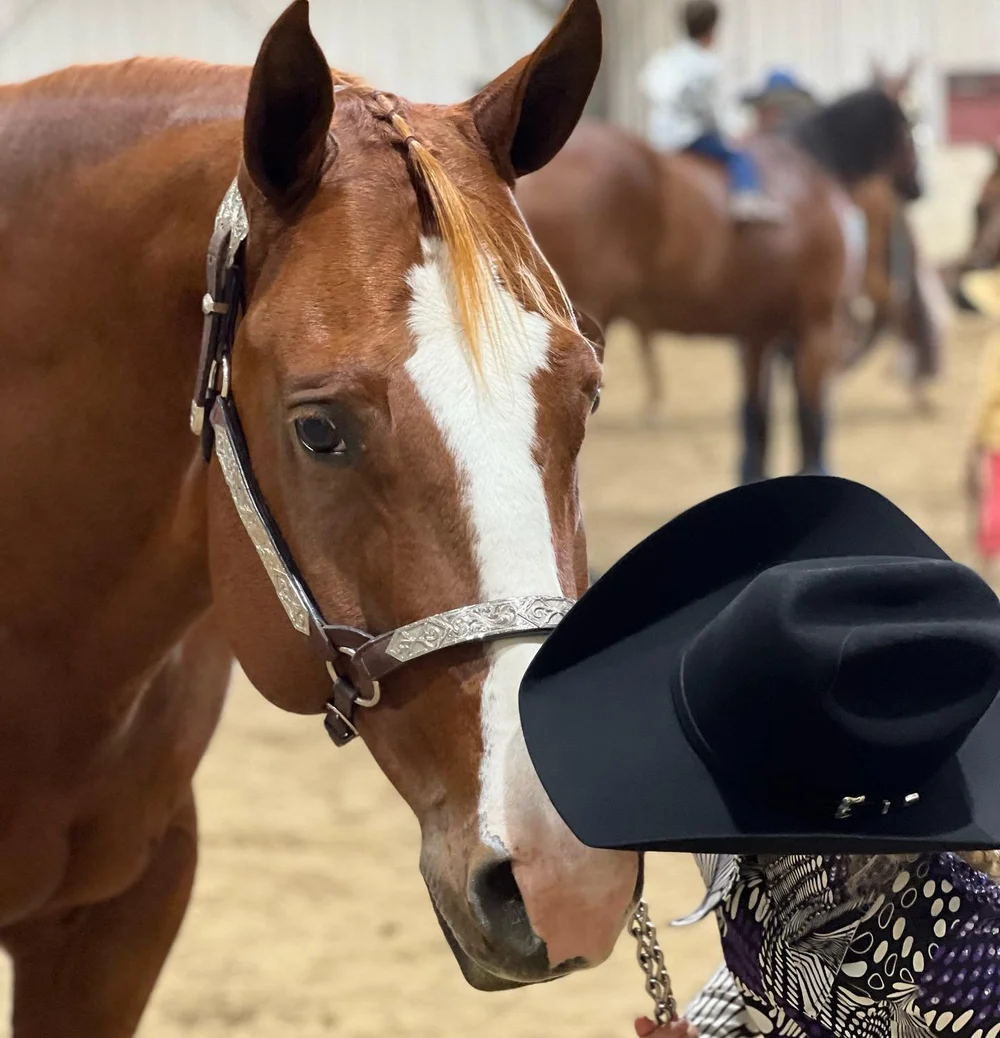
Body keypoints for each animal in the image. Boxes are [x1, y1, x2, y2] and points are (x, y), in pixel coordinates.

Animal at [517, 89, 920, 483]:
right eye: (910, 126)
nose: (917, 187)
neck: (813, 170)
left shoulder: (759, 334)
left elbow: (757, 415)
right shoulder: (819, 325)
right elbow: (810, 416)